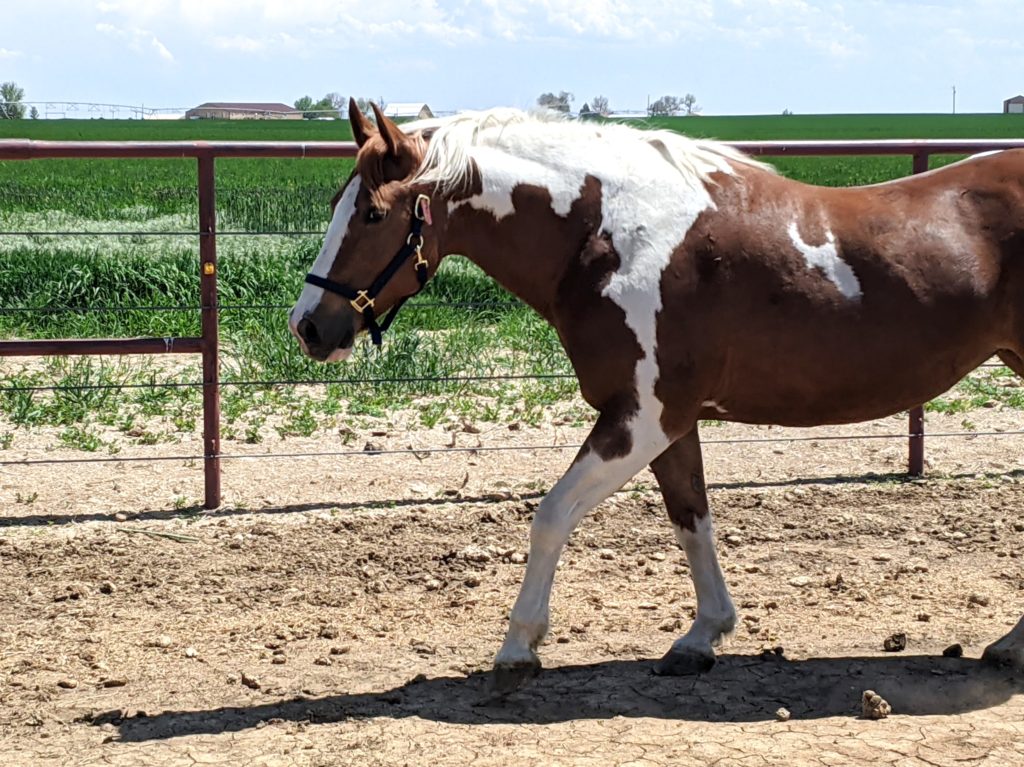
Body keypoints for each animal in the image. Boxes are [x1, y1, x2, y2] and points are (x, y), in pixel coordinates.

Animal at [288, 97, 1024, 688]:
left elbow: (551, 514)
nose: (309, 326)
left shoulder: (642, 416)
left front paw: (518, 647)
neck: (612, 237)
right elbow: (691, 517)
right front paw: (701, 637)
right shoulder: (670, 422)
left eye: (373, 213)